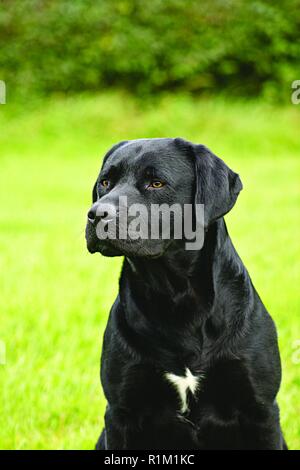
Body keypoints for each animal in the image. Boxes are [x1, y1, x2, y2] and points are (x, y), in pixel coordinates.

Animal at [85, 138, 286, 450]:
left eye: (156, 183)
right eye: (106, 181)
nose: (96, 214)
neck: (175, 296)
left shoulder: (261, 410)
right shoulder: (121, 412)